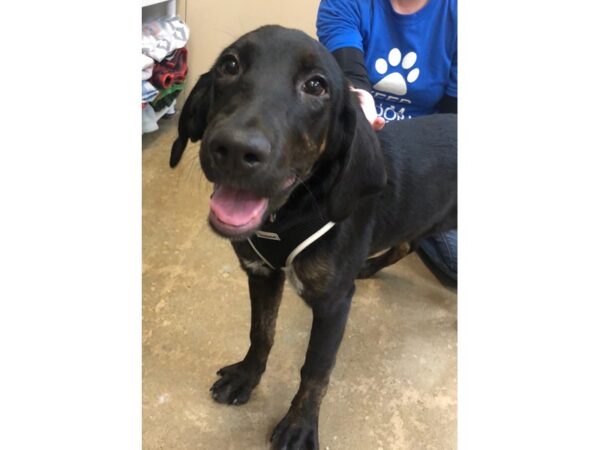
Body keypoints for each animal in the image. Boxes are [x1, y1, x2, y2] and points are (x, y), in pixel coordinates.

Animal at [169, 25, 454, 450]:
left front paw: (300, 425)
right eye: (229, 65)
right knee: (409, 241)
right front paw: (247, 378)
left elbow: (316, 370)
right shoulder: (261, 274)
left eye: (316, 86)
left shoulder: (334, 304)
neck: (288, 214)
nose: (234, 148)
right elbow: (260, 332)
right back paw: (369, 265)